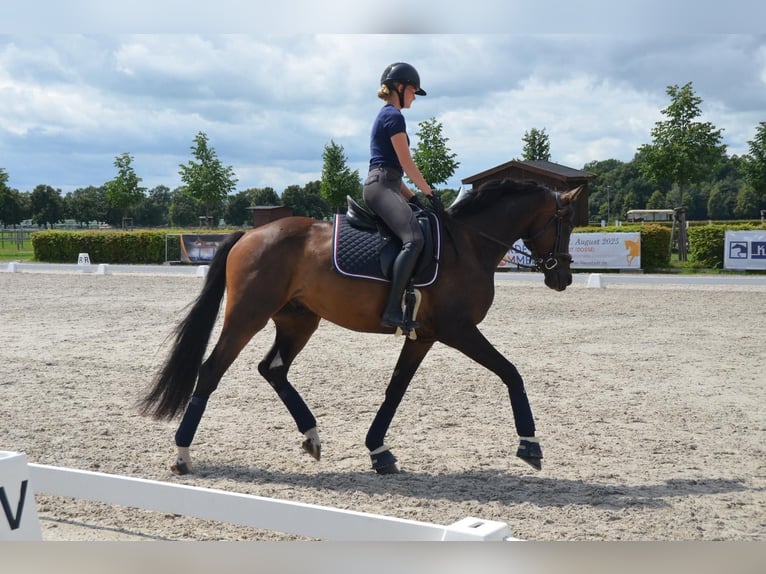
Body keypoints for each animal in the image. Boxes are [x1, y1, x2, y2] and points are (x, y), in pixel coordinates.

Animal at [140, 179, 584, 475]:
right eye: (566, 224)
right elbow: (511, 372)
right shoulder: (458, 331)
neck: (470, 244)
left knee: (273, 369)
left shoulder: (424, 335)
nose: (563, 277)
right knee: (211, 371)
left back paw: (312, 436)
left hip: (299, 320)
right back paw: (182, 455)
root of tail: (251, 234)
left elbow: (396, 389)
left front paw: (379, 451)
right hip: (247, 316)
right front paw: (530, 444)